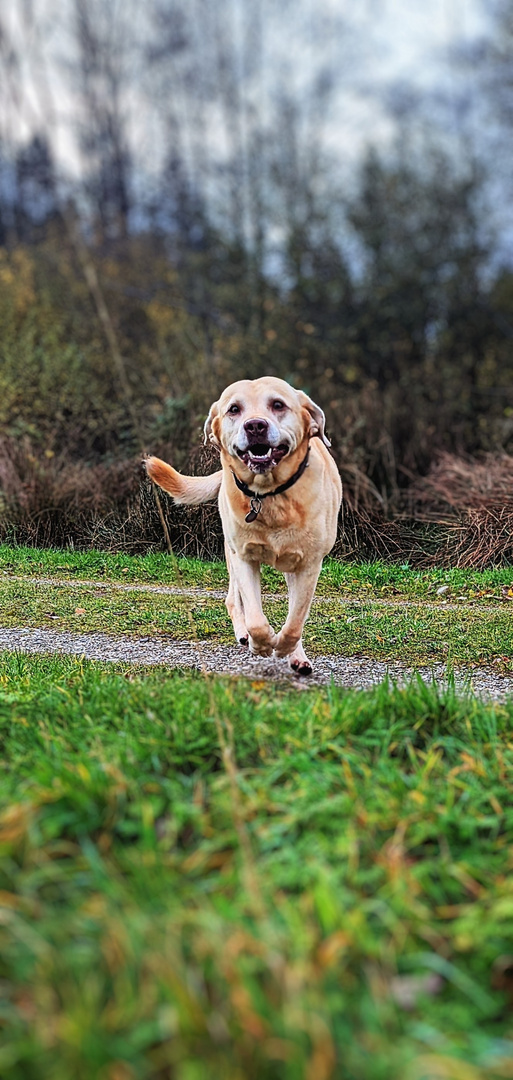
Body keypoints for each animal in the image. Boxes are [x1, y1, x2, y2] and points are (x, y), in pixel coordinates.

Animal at [146, 375, 343, 669]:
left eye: (278, 404)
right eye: (234, 409)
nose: (255, 425)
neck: (269, 495)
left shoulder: (309, 564)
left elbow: (295, 621)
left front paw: (286, 648)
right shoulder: (244, 557)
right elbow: (256, 619)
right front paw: (261, 643)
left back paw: (295, 655)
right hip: (231, 554)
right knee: (232, 600)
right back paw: (245, 635)